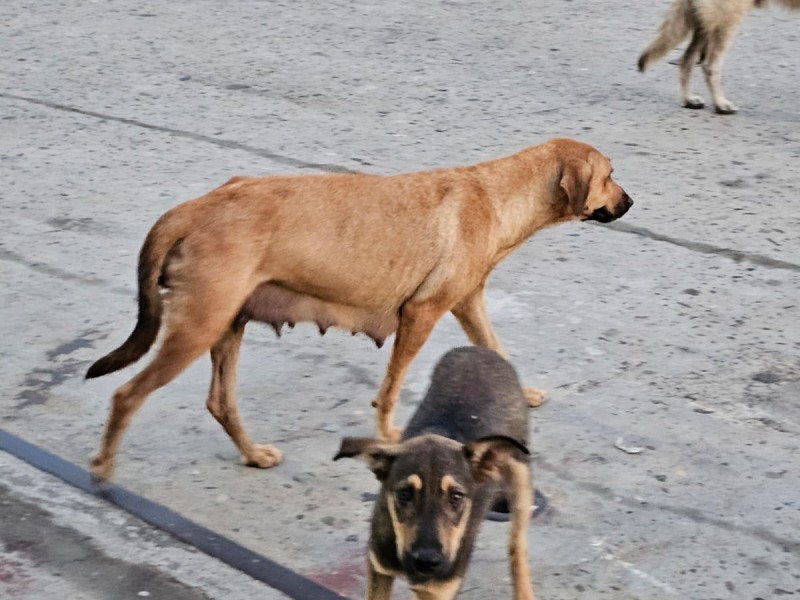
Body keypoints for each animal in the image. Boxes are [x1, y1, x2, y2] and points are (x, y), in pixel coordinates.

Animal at [83, 136, 632, 478]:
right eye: (610, 174)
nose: (629, 203)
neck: (498, 194)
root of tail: (194, 207)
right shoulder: (421, 313)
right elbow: (390, 390)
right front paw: (389, 435)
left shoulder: (467, 303)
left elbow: (497, 348)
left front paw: (523, 392)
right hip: (197, 328)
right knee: (126, 395)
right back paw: (103, 468)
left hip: (225, 326)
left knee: (220, 402)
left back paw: (253, 455)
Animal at [332, 346, 536, 600]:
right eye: (404, 494)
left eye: (456, 496)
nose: (427, 562)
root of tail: (478, 349)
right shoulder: (378, 567)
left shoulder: (439, 592)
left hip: (521, 480)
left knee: (517, 546)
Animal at [636, 0, 800, 113]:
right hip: (727, 18)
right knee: (709, 65)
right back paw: (720, 104)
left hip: (707, 23)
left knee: (687, 59)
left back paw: (689, 100)